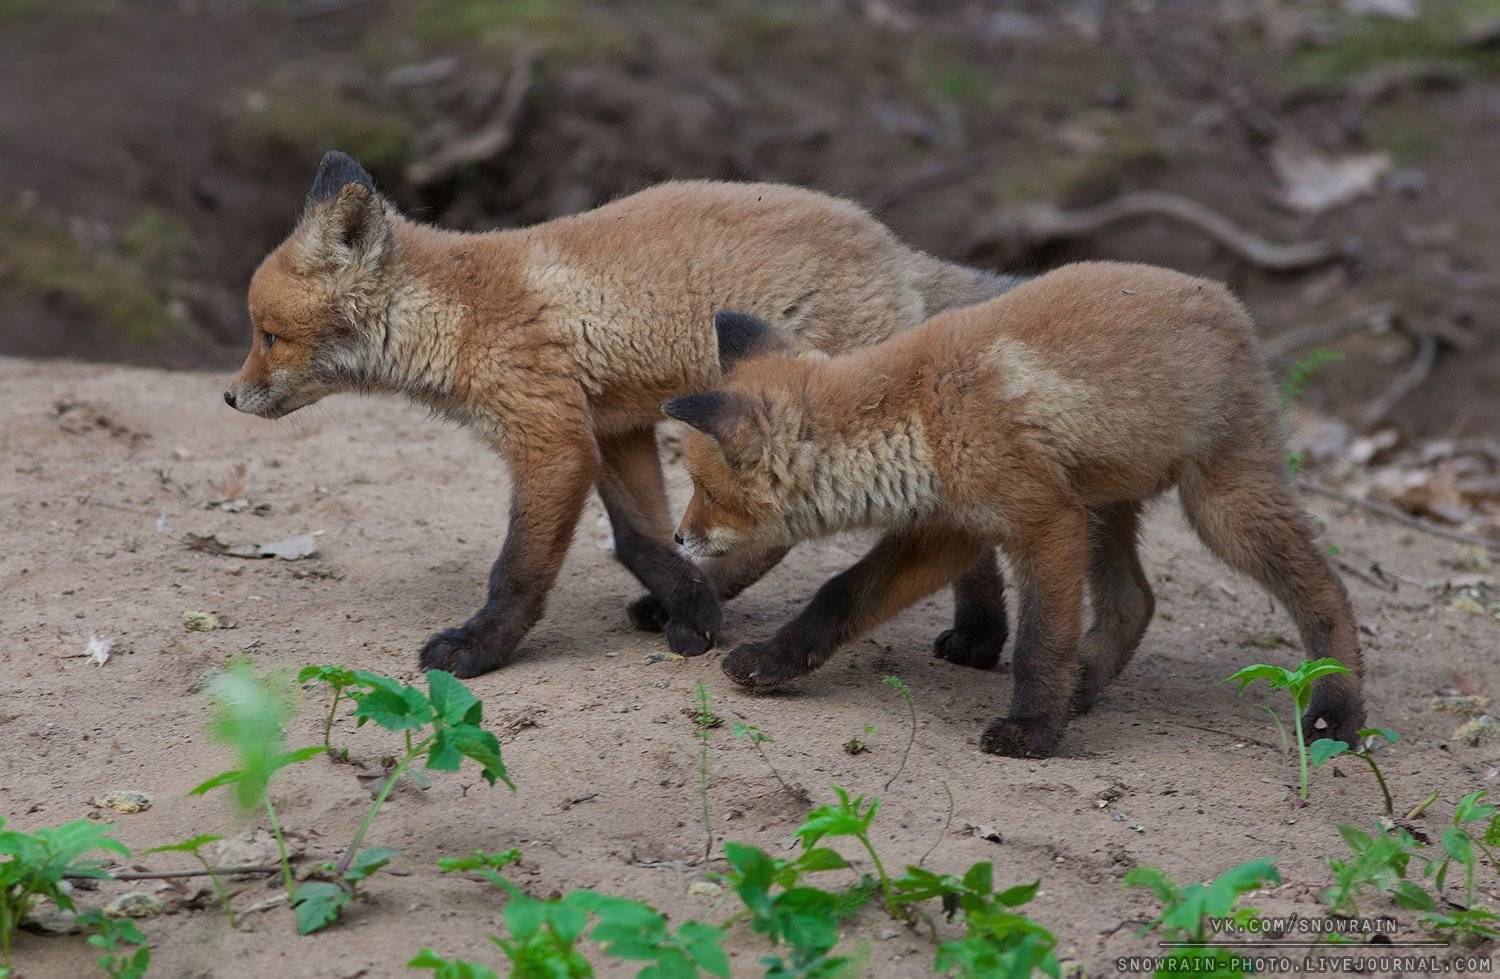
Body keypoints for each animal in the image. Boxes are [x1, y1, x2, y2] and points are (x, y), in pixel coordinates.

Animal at [225, 150, 1022, 679]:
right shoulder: (611, 432)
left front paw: (479, 648)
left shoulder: (551, 439)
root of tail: (895, 247)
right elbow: (642, 541)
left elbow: (516, 569)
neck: (461, 316)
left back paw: (977, 636)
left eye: (269, 335)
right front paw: (693, 610)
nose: (230, 397)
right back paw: (978, 637)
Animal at [663, 261, 1365, 759]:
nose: (677, 537)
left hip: (1221, 506)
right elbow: (840, 595)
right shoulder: (951, 530)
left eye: (705, 489)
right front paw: (774, 662)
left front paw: (1031, 731)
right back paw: (1082, 686)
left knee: (1326, 588)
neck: (926, 415)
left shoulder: (1045, 523)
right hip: (1103, 506)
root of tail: (1226, 298)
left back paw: (1337, 709)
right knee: (1135, 601)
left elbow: (1038, 642)